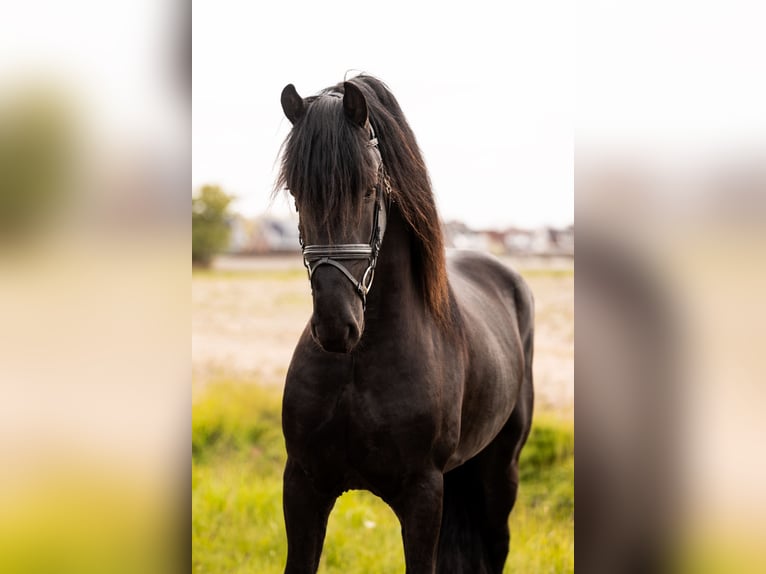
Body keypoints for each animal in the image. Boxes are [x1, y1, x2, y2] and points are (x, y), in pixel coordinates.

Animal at [276, 75, 535, 574]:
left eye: (367, 189)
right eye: (296, 194)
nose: (336, 325)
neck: (357, 365)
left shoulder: (422, 496)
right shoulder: (303, 486)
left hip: (500, 475)